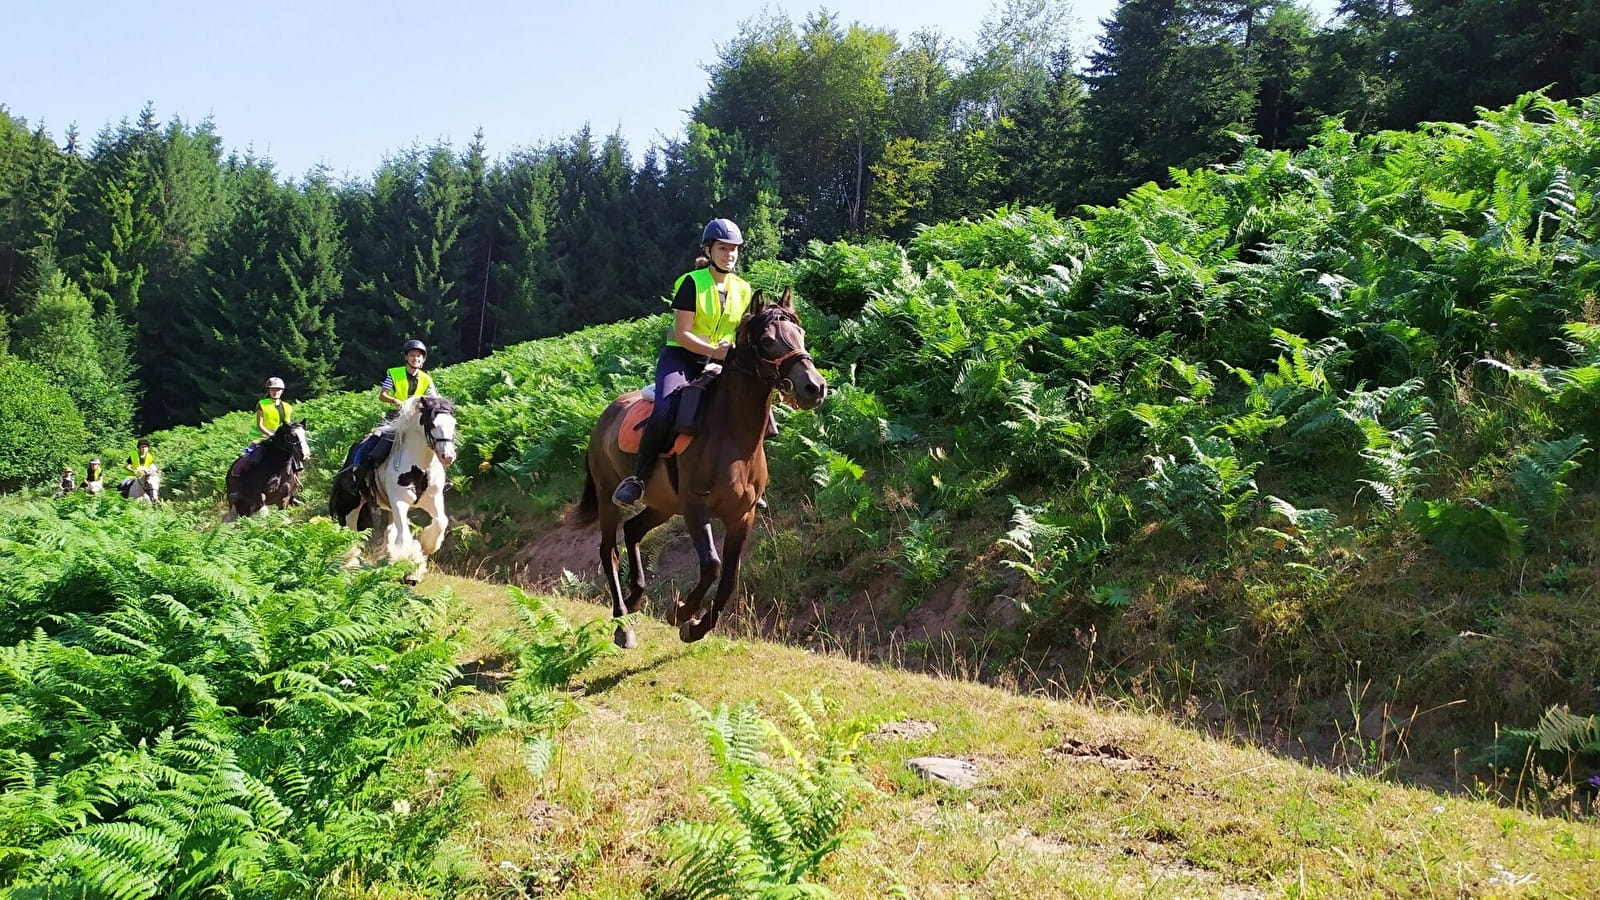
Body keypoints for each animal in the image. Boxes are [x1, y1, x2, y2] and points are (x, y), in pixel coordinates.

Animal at [331, 393, 457, 582]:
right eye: (433, 424)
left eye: (453, 424)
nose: (448, 456)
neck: (419, 467)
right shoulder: (400, 501)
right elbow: (403, 537)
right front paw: (406, 568)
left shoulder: (433, 499)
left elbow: (441, 521)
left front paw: (427, 547)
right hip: (352, 505)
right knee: (351, 531)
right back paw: (350, 564)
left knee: (389, 531)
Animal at [572, 286, 825, 643]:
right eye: (766, 340)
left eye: (800, 334)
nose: (814, 387)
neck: (731, 435)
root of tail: (604, 416)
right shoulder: (696, 508)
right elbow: (711, 565)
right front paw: (682, 612)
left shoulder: (742, 516)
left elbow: (730, 577)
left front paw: (696, 627)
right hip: (611, 498)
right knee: (608, 550)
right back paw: (622, 625)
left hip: (663, 504)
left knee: (633, 530)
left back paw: (636, 596)